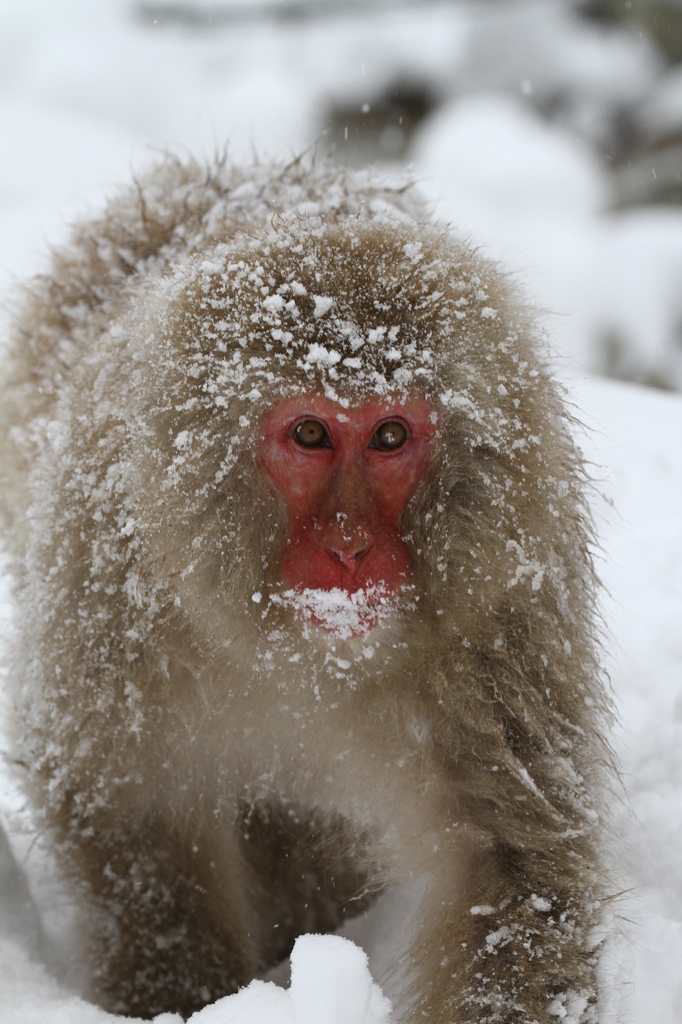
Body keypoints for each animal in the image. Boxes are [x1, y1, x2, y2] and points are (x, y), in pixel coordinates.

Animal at [0, 155, 610, 1019]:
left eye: (389, 435)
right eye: (312, 434)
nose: (350, 547)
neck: (299, 650)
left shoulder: (501, 599)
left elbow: (505, 851)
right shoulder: (110, 571)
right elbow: (130, 802)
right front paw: (179, 992)